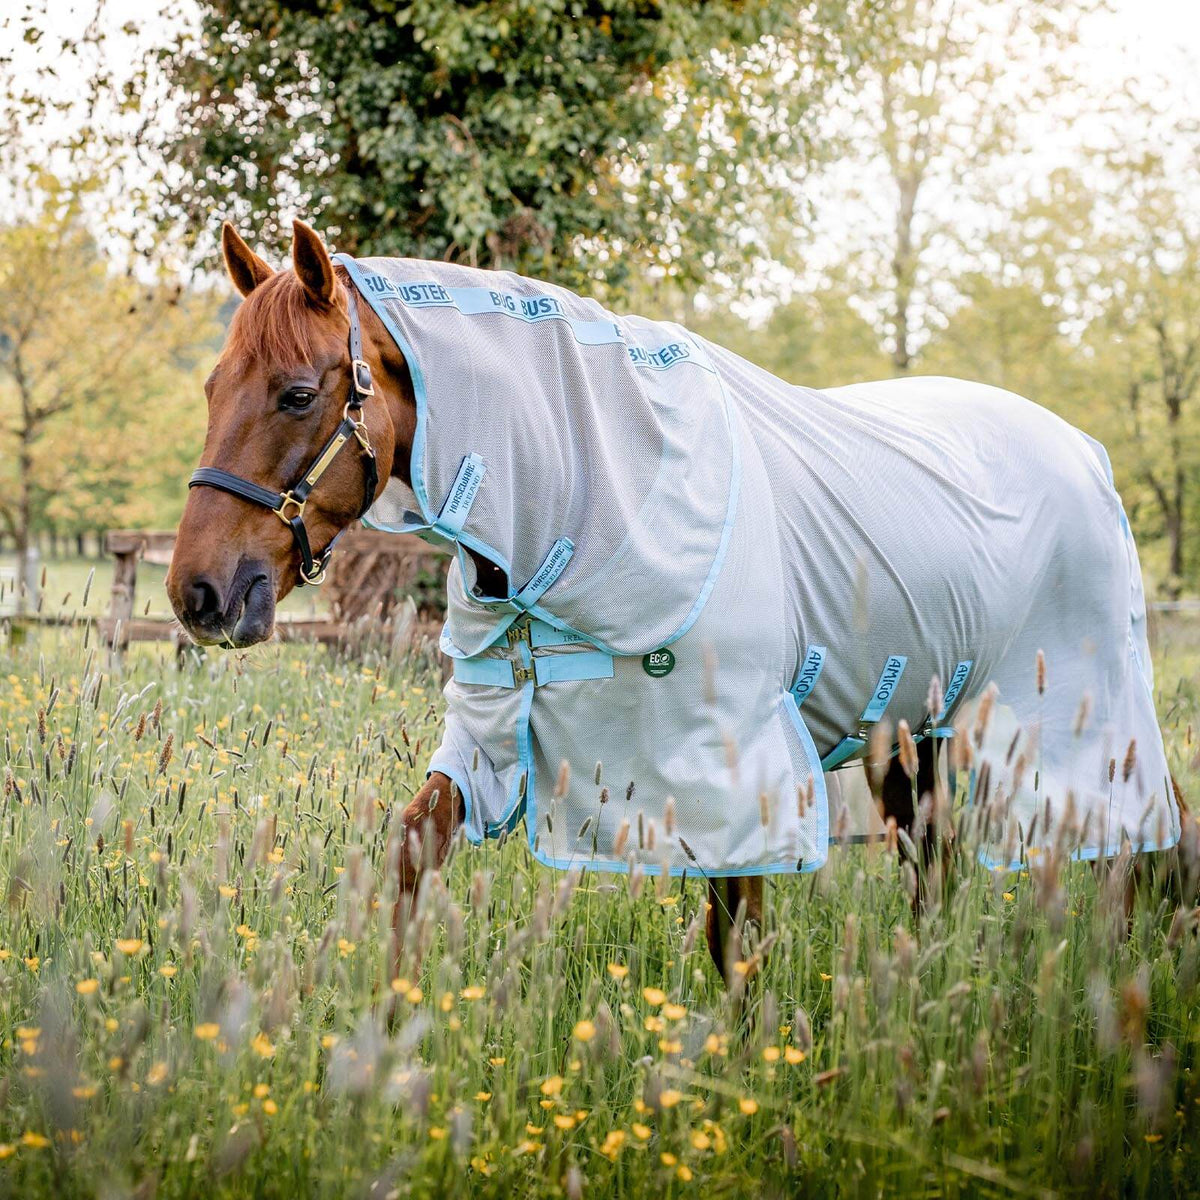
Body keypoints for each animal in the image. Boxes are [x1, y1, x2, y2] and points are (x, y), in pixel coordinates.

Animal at [167, 220, 1187, 983]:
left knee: (1140, 836)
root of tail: (1084, 450)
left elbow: (736, 940)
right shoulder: (492, 738)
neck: (595, 488)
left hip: (1074, 716)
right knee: (935, 868)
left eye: (299, 394)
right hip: (916, 729)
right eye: (211, 386)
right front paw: (389, 1037)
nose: (200, 594)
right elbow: (417, 846)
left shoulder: (734, 772)